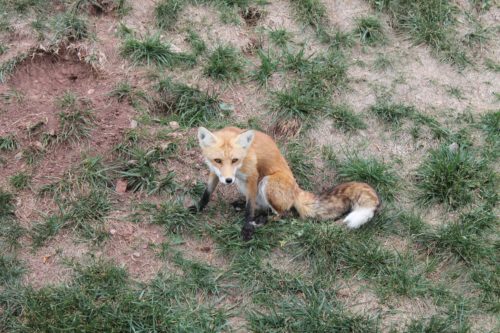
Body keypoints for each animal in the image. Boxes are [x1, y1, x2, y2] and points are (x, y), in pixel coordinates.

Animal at [190, 126, 378, 240]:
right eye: (218, 161)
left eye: (235, 160)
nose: (229, 180)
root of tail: (296, 190)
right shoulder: (215, 173)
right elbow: (207, 193)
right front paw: (198, 207)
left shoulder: (253, 176)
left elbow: (249, 211)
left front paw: (247, 229)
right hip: (245, 185)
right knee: (263, 207)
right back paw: (244, 207)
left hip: (266, 182)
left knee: (282, 214)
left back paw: (260, 222)